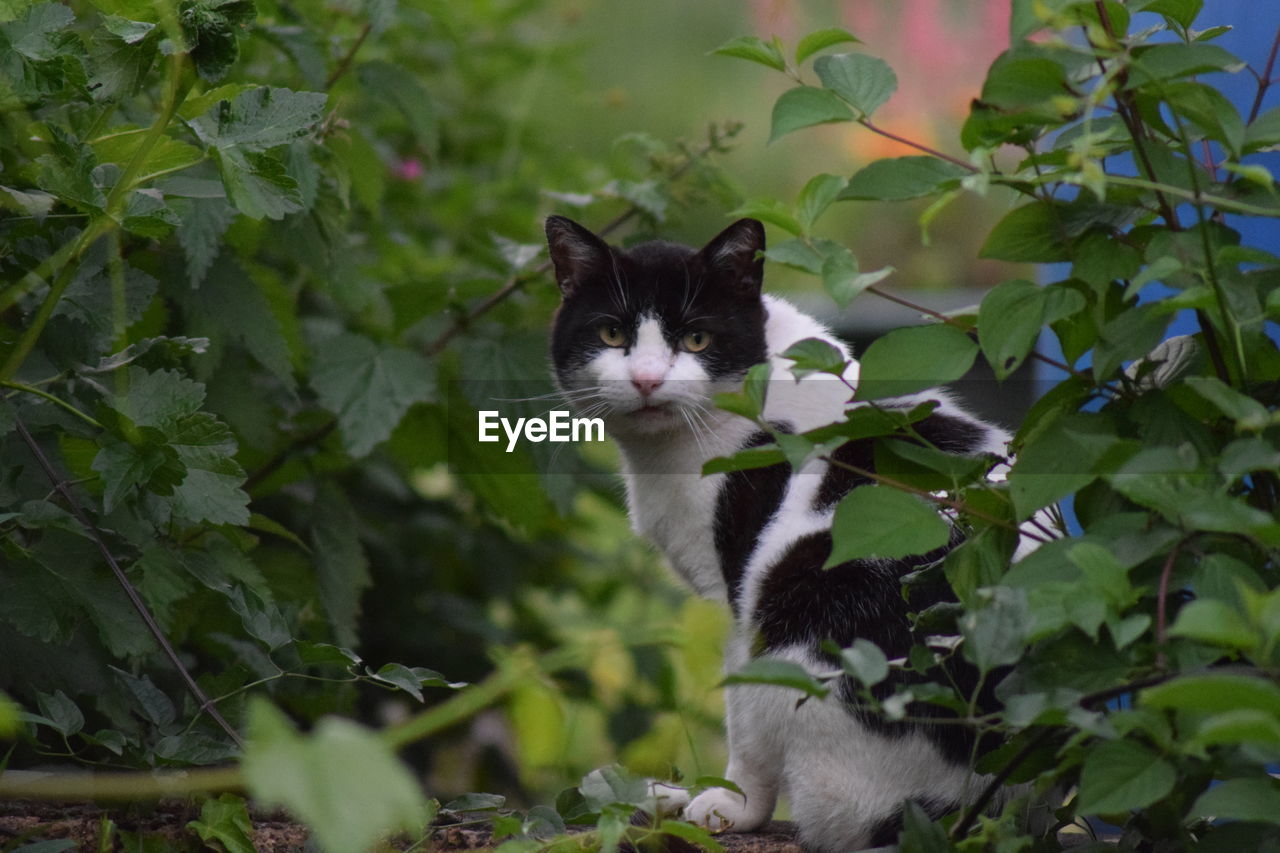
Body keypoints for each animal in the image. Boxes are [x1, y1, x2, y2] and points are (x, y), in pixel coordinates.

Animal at [545, 213, 1034, 850]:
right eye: (610, 334)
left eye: (696, 340)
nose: (648, 380)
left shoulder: (738, 594)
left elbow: (741, 721)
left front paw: (730, 807)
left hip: (797, 624)